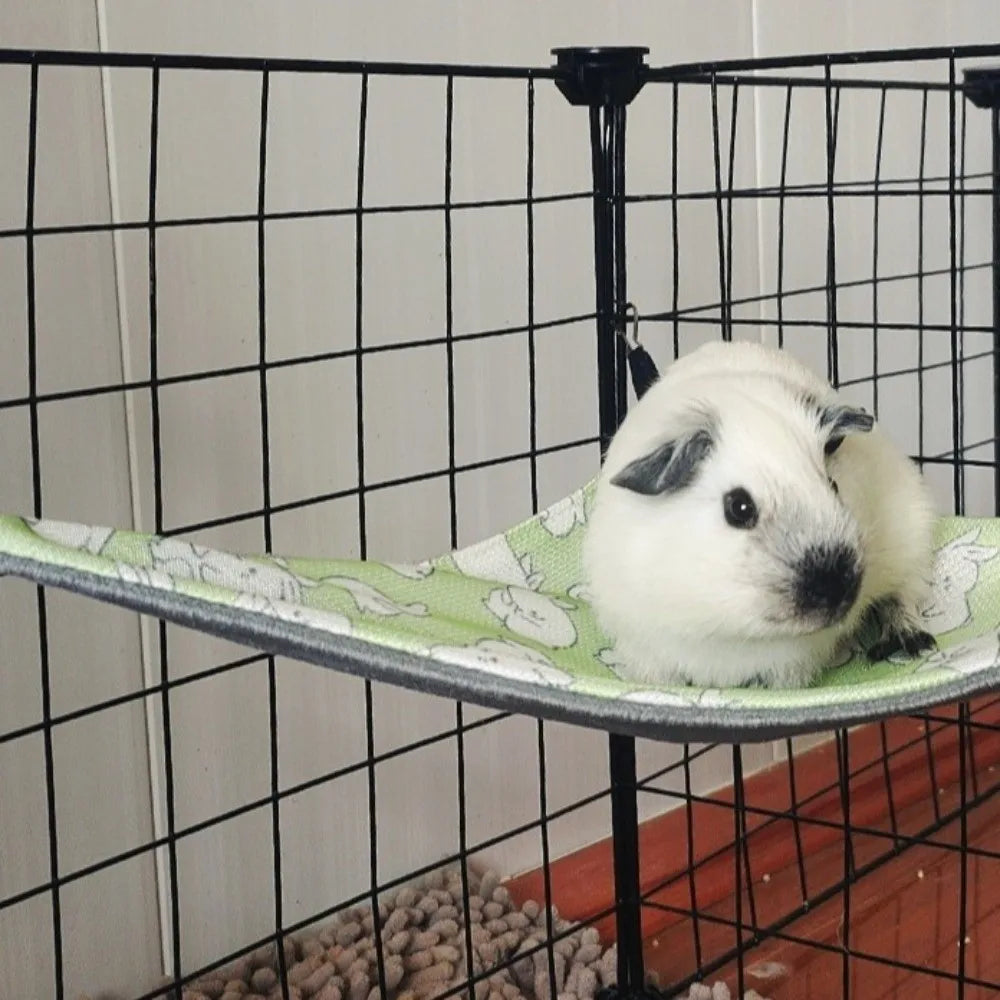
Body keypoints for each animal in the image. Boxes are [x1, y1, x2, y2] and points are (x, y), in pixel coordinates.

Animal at [582, 339, 937, 689]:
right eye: (739, 507)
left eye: (834, 485)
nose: (836, 590)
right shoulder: (646, 650)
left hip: (912, 537)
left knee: (902, 597)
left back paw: (909, 642)